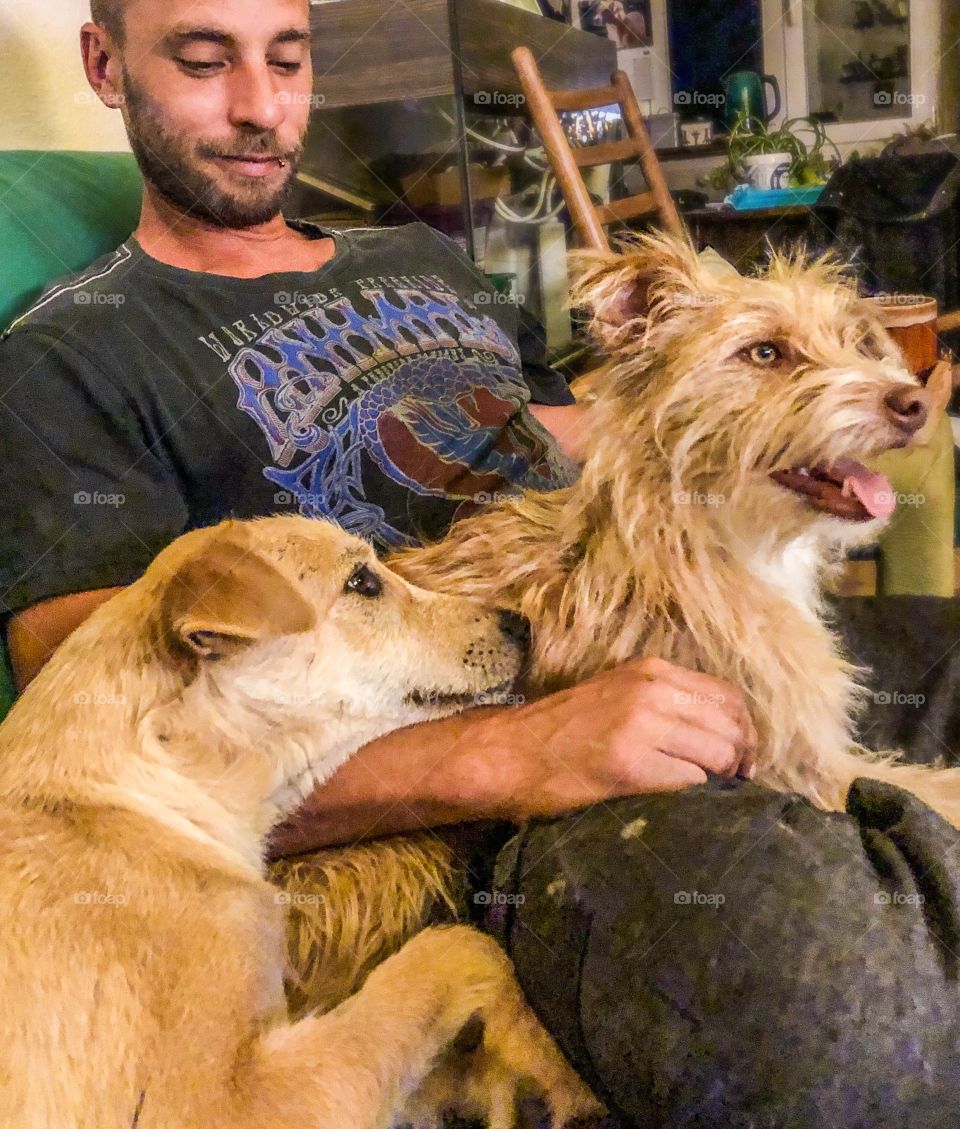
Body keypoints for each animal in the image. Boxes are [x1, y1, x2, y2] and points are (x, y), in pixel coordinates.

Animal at [0, 517, 596, 1124]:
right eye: (361, 582)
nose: (521, 622)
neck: (146, 793)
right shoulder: (218, 1105)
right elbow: (465, 948)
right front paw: (545, 1064)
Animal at [271, 231, 957, 1025]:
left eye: (856, 340)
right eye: (765, 352)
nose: (914, 403)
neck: (701, 531)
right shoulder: (801, 759)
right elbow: (932, 792)